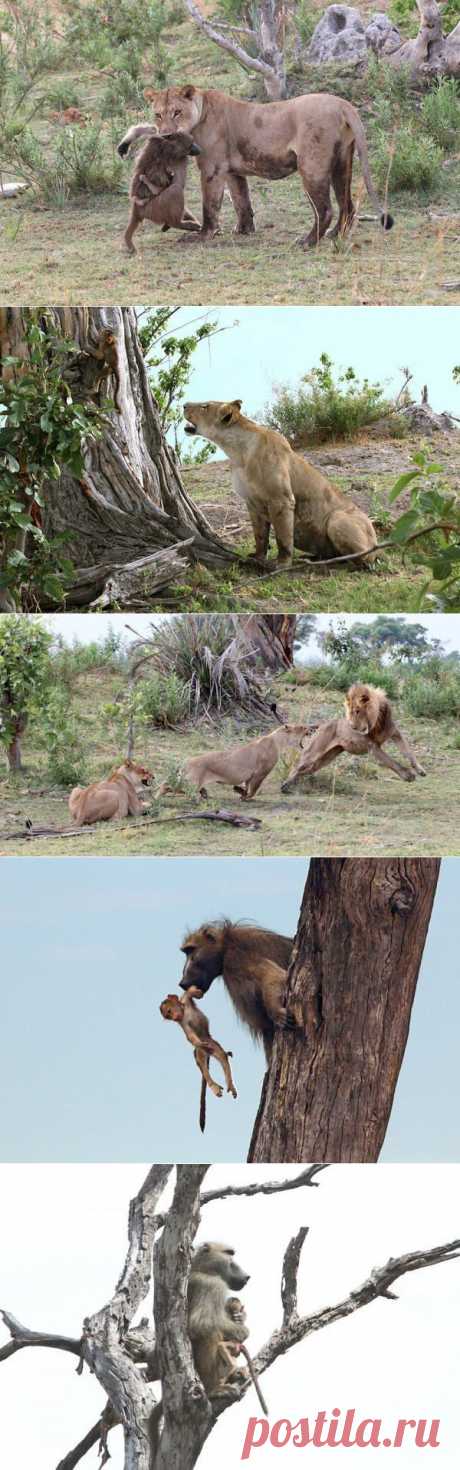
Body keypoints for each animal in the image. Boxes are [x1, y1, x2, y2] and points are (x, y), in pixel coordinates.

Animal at [144, 84, 390, 246]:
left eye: (177, 112)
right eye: (158, 115)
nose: (165, 135)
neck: (199, 114)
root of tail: (342, 103)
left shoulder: (212, 168)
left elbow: (210, 206)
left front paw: (203, 236)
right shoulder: (232, 172)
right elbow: (241, 201)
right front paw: (243, 230)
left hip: (311, 165)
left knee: (325, 209)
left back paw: (308, 241)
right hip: (342, 162)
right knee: (347, 205)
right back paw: (335, 234)